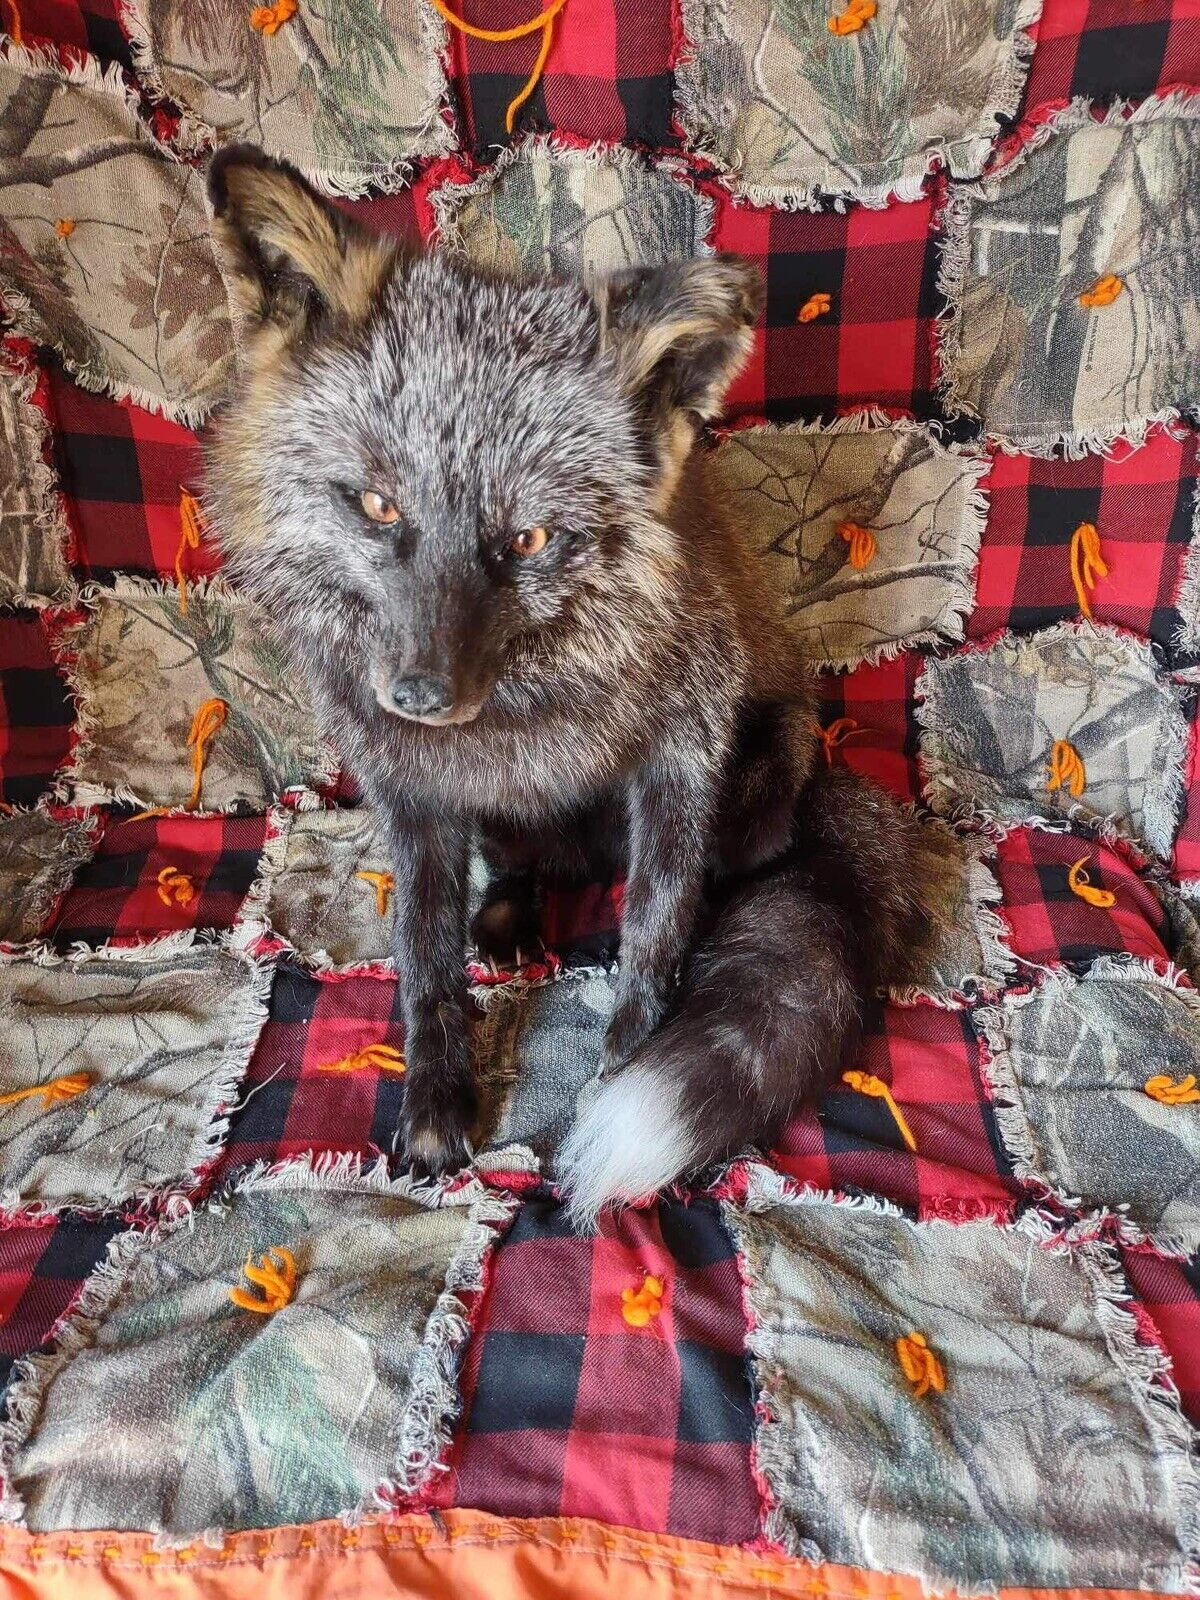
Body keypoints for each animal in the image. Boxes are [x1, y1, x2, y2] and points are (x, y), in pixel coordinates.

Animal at [204, 148, 963, 1225]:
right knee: (518, 868)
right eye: (378, 505)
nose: (420, 695)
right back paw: (510, 916)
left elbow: (653, 931)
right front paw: (435, 1101)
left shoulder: (681, 761)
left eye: (526, 538)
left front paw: (624, 1065)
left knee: (724, 877)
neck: (532, 712)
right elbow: (423, 958)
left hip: (768, 778)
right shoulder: (414, 792)